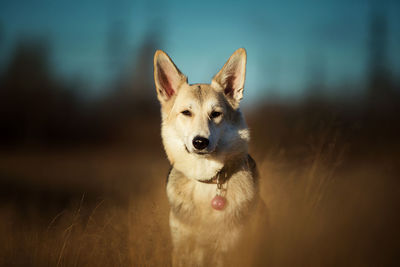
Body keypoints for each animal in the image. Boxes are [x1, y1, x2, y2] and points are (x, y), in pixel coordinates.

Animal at [155, 48, 268, 267]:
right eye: (186, 112)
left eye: (215, 114)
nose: (200, 142)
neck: (206, 181)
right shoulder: (182, 249)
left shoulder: (229, 251)